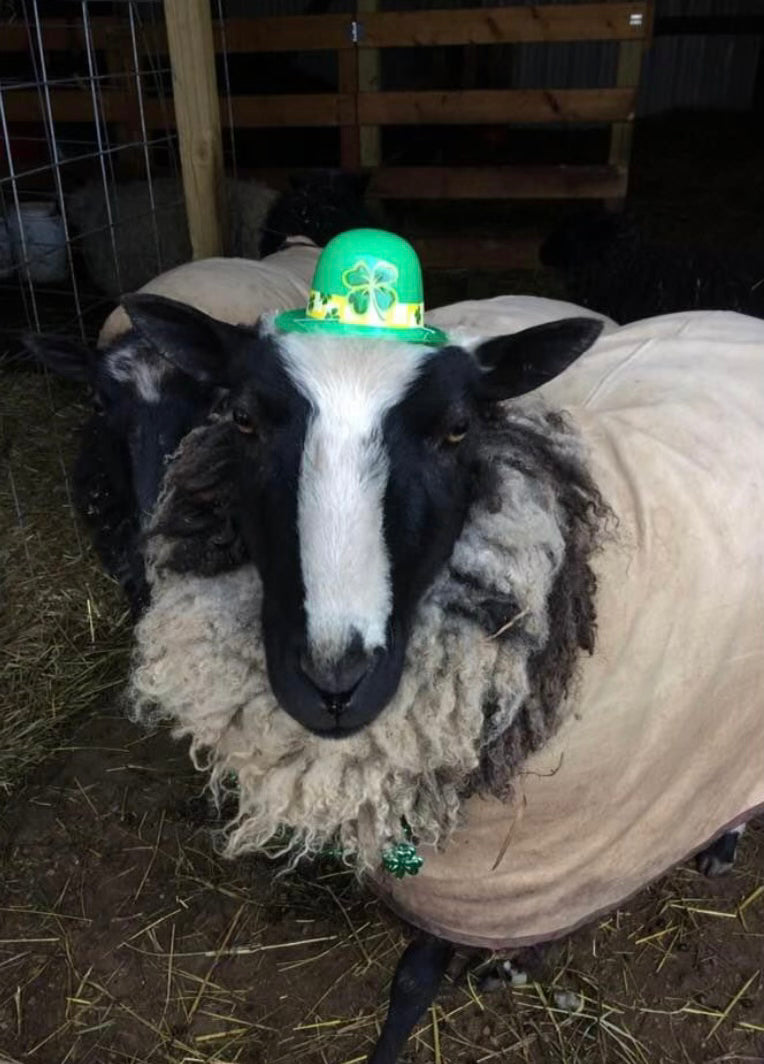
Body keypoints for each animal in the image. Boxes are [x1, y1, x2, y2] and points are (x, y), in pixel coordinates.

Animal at [123, 282, 764, 1063]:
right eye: (242, 417)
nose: (333, 682)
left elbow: (416, 978)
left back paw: (724, 843)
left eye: (458, 429)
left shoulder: (536, 863)